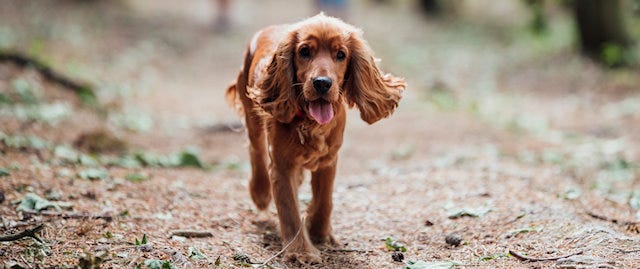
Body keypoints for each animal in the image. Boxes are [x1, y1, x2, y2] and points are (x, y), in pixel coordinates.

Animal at [226, 13, 404, 262]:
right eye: (304, 51)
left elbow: (324, 199)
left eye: (341, 54)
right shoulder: (281, 165)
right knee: (256, 150)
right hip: (251, 113)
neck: (309, 122)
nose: (322, 83)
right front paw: (301, 251)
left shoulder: (329, 159)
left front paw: (319, 232)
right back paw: (260, 192)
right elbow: (289, 208)